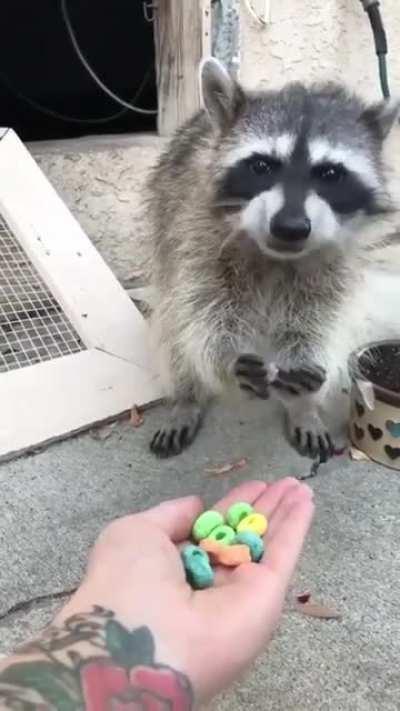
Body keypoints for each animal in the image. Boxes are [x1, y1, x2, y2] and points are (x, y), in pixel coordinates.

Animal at [144, 59, 400, 462]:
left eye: (330, 173)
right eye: (261, 166)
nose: (290, 227)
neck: (275, 255)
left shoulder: (337, 253)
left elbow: (319, 312)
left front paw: (304, 375)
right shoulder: (195, 229)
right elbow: (203, 310)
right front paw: (225, 359)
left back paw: (302, 407)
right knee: (175, 327)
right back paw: (186, 396)